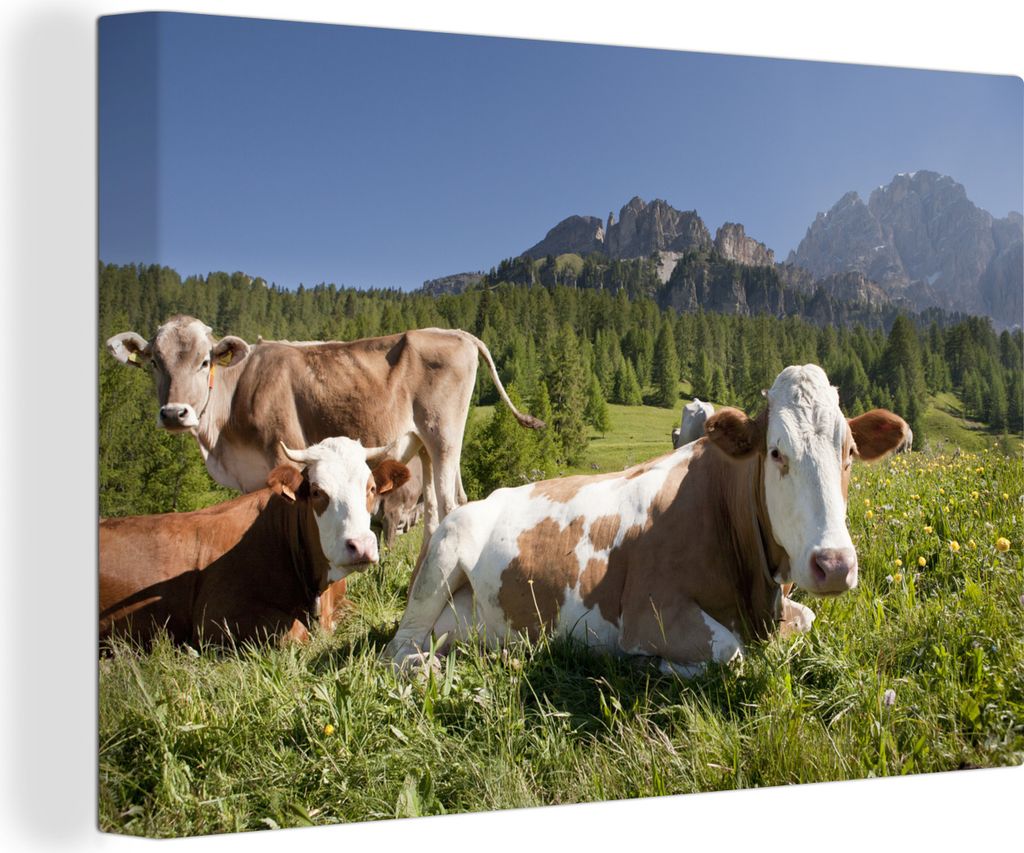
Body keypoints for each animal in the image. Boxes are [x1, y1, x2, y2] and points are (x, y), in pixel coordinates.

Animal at [106, 316, 543, 629]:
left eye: (204, 361)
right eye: (154, 363)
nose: (174, 413)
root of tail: (456, 333)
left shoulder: (280, 450)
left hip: (443, 435)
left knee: (451, 505)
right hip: (425, 446)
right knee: (439, 513)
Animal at [386, 365, 909, 677]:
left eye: (849, 452)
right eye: (777, 452)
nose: (835, 564)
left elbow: (808, 618)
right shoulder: (648, 611)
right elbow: (730, 652)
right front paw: (656, 666)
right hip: (441, 557)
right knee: (396, 650)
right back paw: (425, 668)